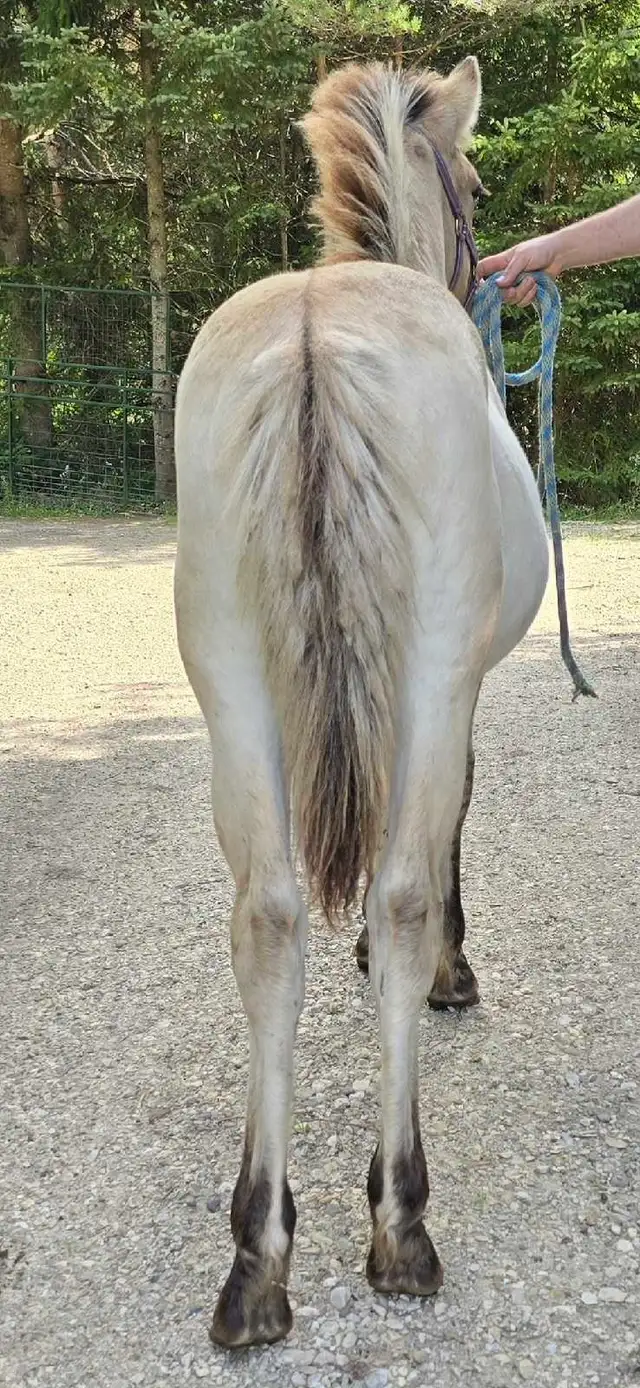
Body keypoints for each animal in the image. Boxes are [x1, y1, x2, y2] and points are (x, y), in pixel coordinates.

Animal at [174, 57, 549, 1348]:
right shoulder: (460, 684)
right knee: (395, 890)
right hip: (425, 665)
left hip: (232, 682)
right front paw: (445, 972)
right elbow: (443, 838)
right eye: (474, 186)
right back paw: (400, 1221)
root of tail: (309, 337)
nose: (492, 265)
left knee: (268, 914)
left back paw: (256, 1255)